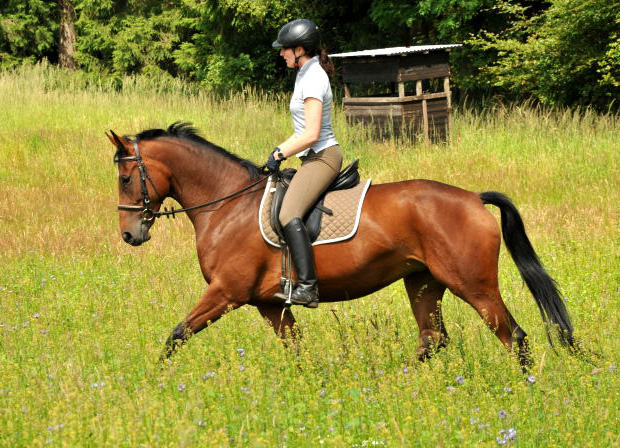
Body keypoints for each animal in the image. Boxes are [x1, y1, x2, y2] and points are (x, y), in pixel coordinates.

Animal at [106, 121, 576, 370]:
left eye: (126, 178)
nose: (130, 235)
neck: (227, 203)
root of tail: (474, 198)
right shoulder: (269, 304)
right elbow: (297, 352)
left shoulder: (227, 292)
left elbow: (176, 334)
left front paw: (157, 382)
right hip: (423, 282)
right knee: (432, 339)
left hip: (473, 285)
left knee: (515, 337)